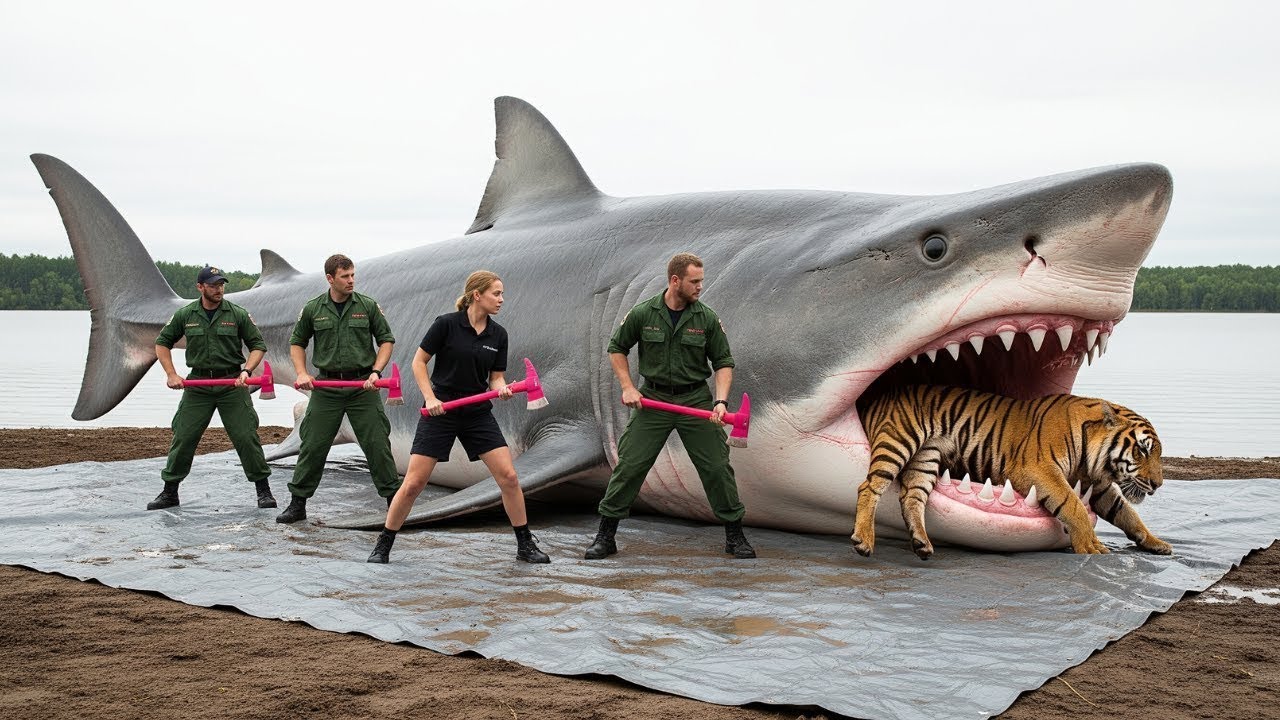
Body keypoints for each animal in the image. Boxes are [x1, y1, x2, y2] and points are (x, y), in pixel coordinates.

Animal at [851, 385, 1172, 559]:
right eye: (1142, 450)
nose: (1158, 484)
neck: (1092, 461)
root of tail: (878, 396)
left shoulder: (1102, 488)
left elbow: (1128, 514)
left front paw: (1156, 543)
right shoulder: (1039, 469)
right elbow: (1074, 507)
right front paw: (1091, 547)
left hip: (925, 459)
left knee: (912, 497)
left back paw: (922, 544)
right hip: (898, 441)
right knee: (868, 486)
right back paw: (864, 541)